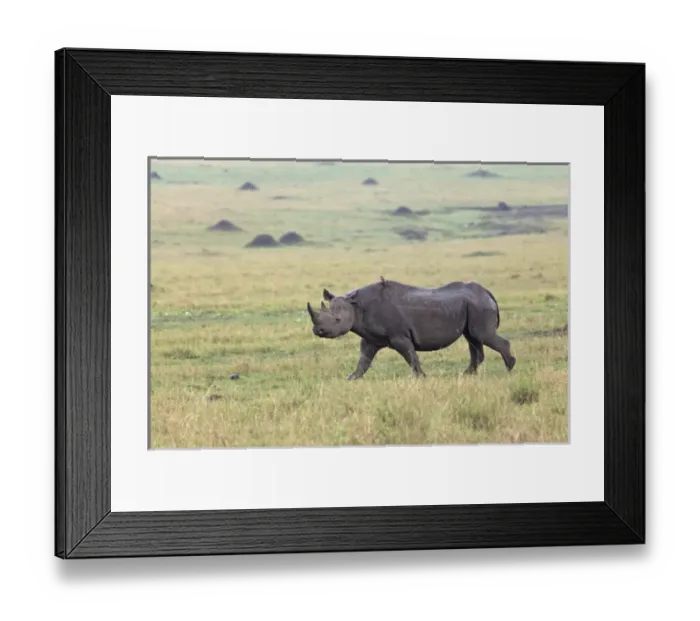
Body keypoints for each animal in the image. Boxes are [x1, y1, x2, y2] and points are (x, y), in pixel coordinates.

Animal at [306, 277, 516, 379]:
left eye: (337, 319)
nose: (318, 331)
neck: (356, 306)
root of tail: (487, 292)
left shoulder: (399, 336)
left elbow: (410, 356)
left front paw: (419, 377)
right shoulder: (370, 338)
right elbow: (364, 359)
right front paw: (351, 378)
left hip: (478, 305)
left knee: (482, 335)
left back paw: (510, 368)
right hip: (472, 305)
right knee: (473, 339)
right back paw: (467, 374)